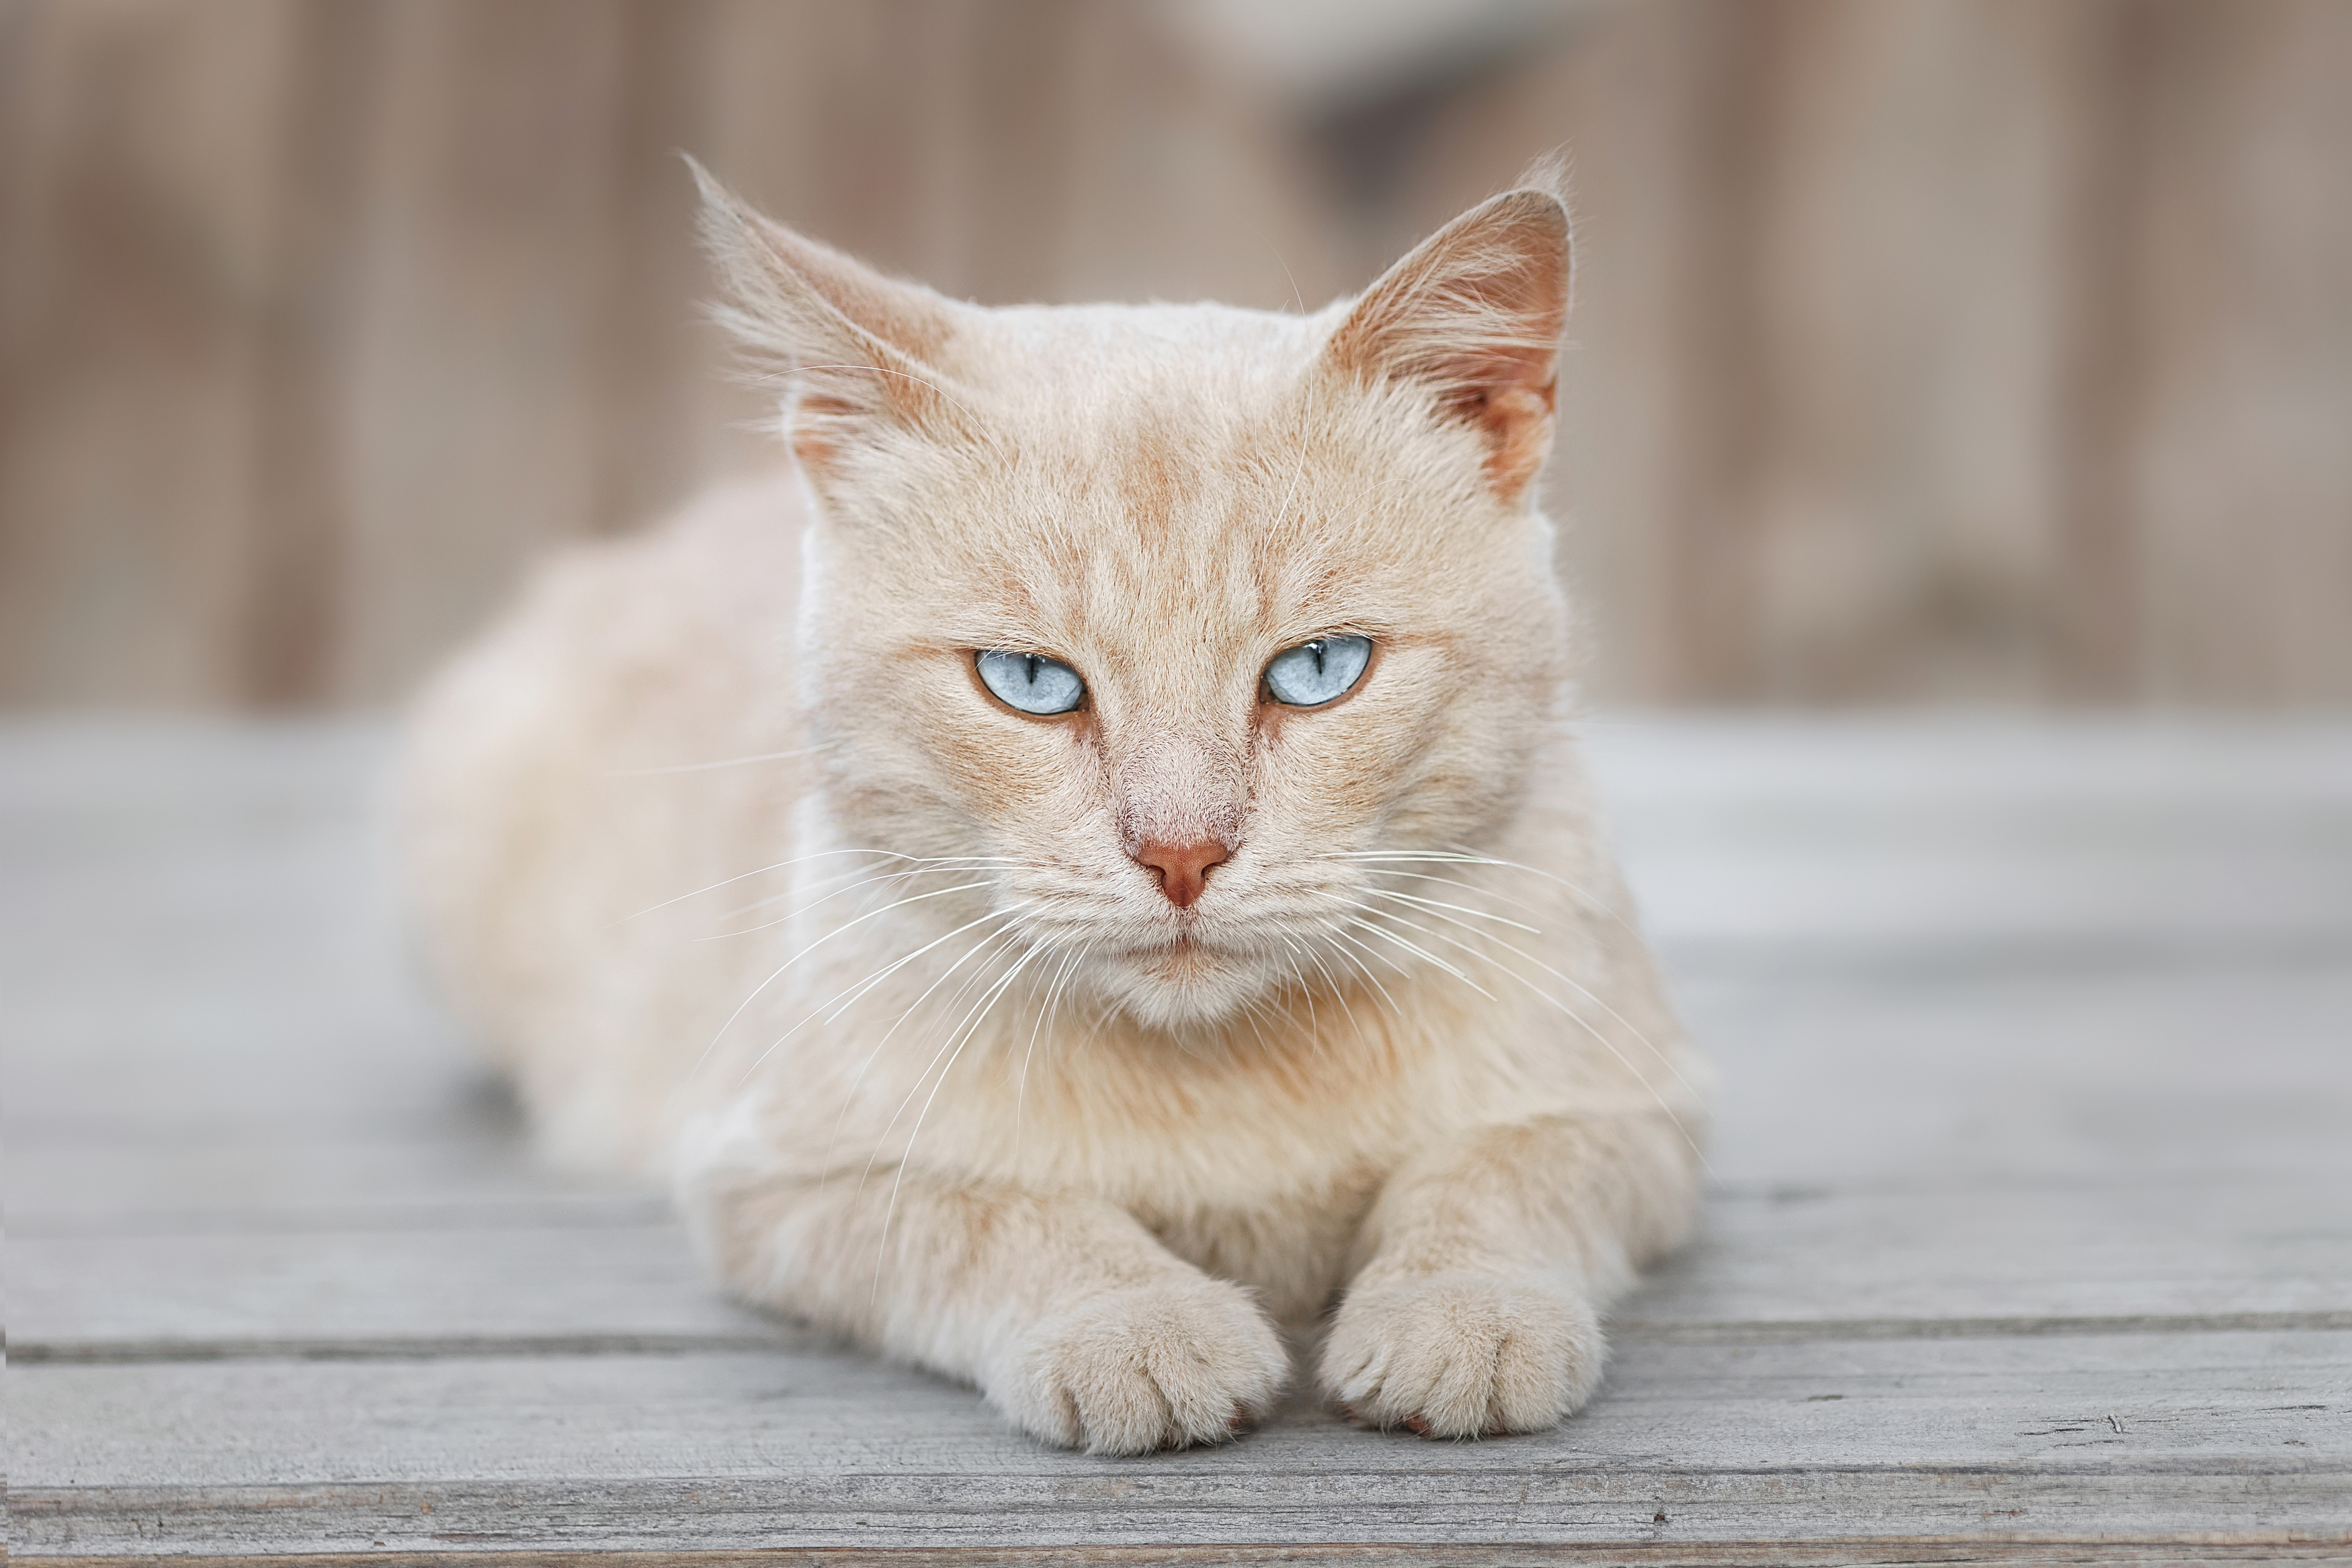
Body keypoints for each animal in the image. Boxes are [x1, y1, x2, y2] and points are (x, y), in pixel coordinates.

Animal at [405, 162, 1712, 1457]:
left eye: (1319, 667)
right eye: (1031, 681)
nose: (1181, 852)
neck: (1226, 1079)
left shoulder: (1640, 1115)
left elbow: (1500, 1171)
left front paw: (1461, 1306)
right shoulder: (779, 1178)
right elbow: (999, 1216)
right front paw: (1137, 1322)